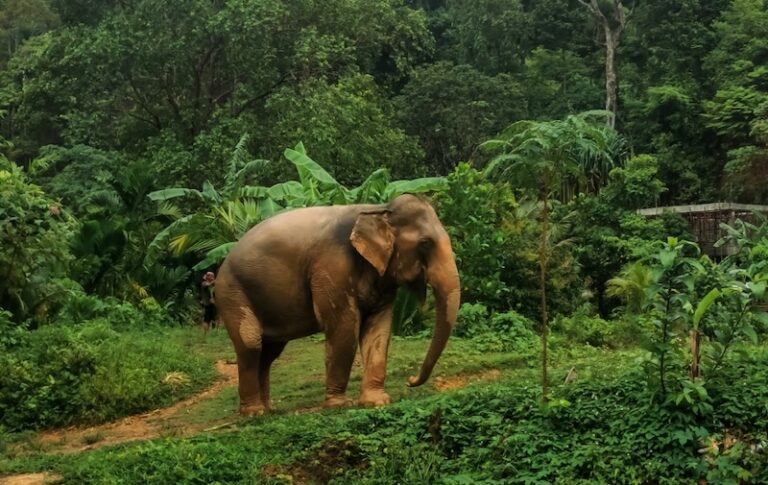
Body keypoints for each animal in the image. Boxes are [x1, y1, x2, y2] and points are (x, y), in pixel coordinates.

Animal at [213, 191, 460, 414]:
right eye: (425, 243)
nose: (410, 380)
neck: (379, 209)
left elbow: (378, 329)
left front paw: (376, 402)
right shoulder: (331, 266)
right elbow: (344, 326)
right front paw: (340, 405)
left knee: (269, 353)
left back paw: (268, 410)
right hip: (231, 292)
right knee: (251, 343)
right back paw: (254, 413)